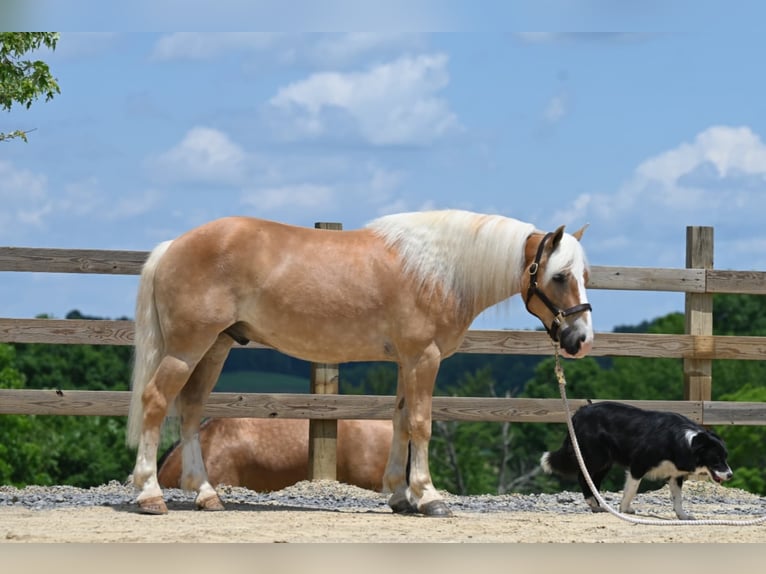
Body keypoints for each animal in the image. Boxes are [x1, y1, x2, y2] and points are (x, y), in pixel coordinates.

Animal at [544, 400, 736, 520]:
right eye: (716, 459)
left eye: (726, 457)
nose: (730, 475)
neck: (685, 442)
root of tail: (578, 413)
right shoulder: (638, 465)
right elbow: (631, 490)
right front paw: (624, 510)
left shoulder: (675, 475)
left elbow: (678, 499)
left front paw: (682, 516)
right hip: (597, 457)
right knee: (583, 476)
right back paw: (594, 503)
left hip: (605, 461)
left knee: (593, 480)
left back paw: (599, 505)